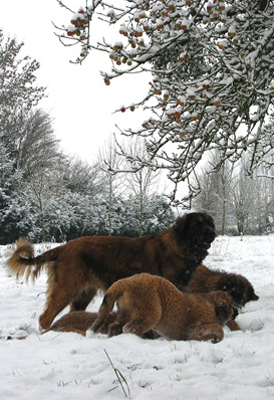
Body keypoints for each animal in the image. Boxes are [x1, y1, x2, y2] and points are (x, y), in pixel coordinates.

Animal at [6, 211, 216, 330]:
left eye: (210, 223)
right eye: (198, 224)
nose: (212, 233)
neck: (182, 245)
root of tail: (63, 247)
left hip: (83, 294)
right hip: (67, 288)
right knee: (45, 317)